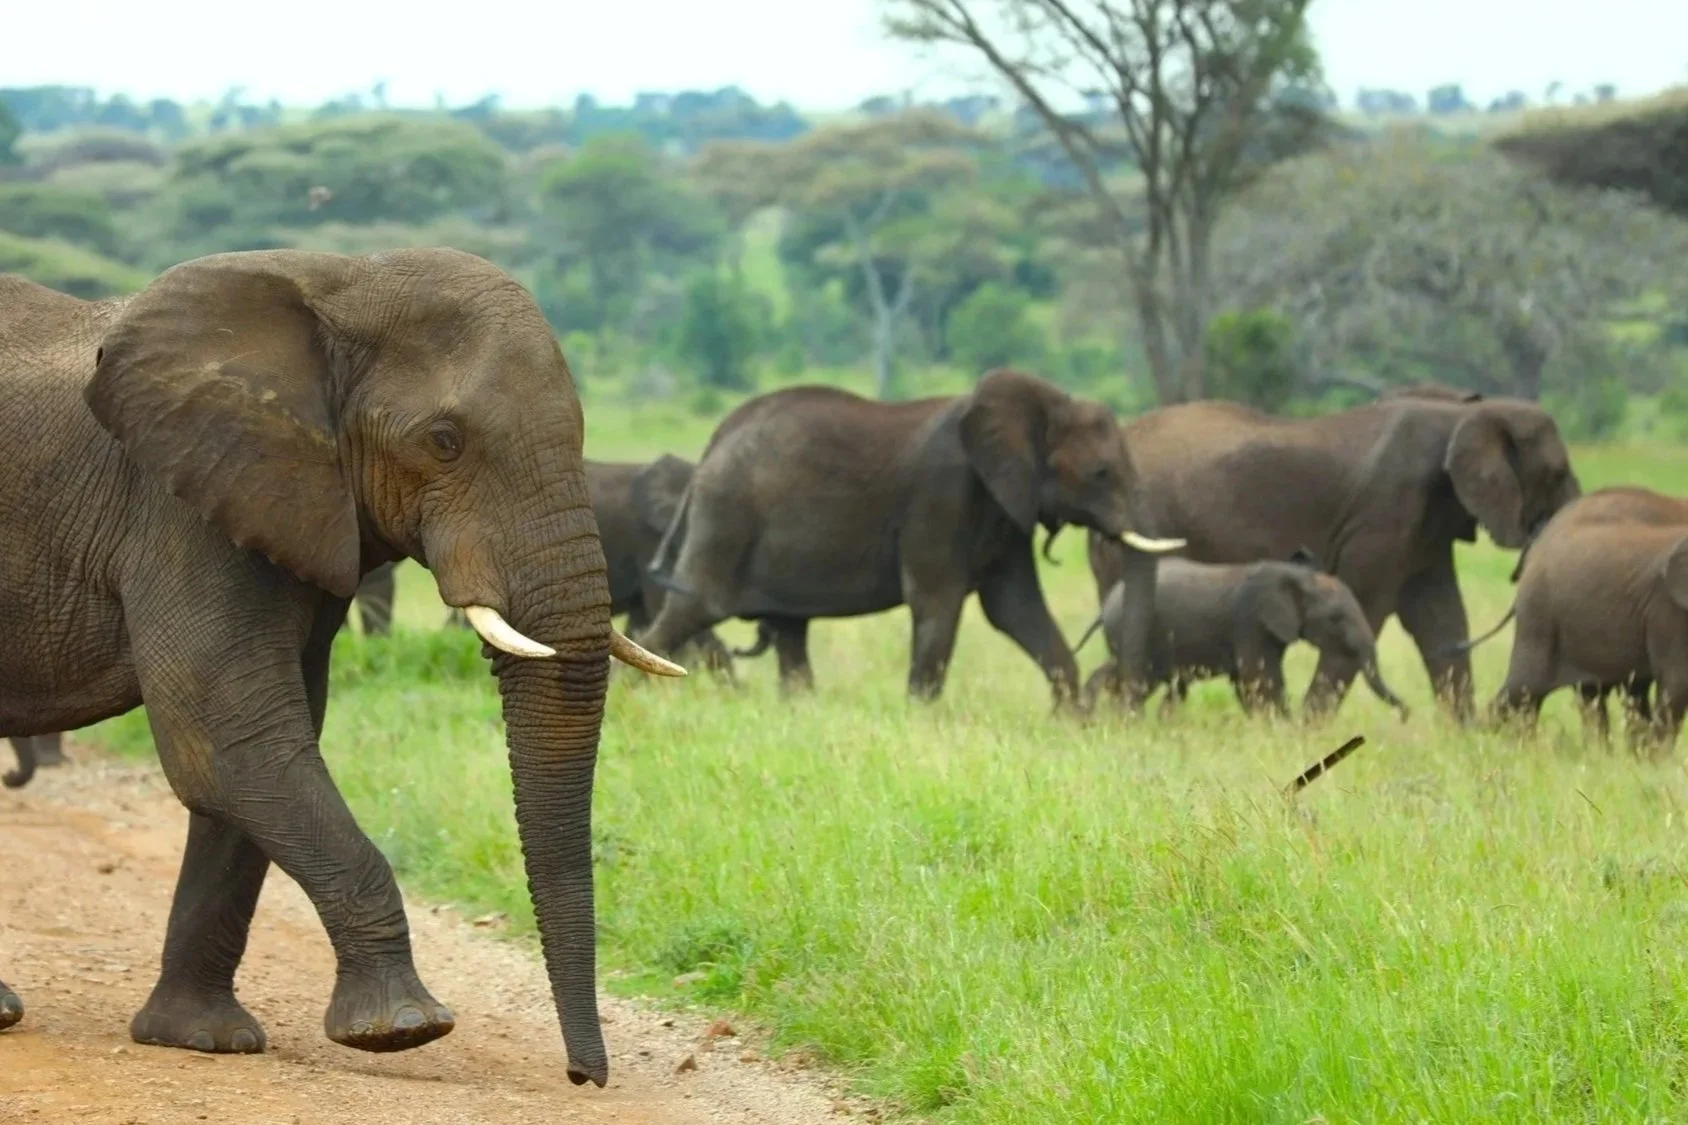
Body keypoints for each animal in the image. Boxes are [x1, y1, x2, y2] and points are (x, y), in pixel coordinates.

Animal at [0, 248, 685, 1087]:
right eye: (445, 440)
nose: (584, 1075)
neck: (339, 279)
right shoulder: (177, 508)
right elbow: (232, 742)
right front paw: (403, 1028)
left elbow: (264, 751)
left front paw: (202, 1037)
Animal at [634, 368, 1186, 705]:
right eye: (1100, 474)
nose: (1116, 705)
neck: (1045, 402)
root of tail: (714, 441)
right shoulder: (943, 494)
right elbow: (937, 603)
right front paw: (923, 715)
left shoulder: (1006, 507)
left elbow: (1014, 608)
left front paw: (1068, 723)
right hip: (727, 517)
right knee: (694, 609)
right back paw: (632, 699)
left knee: (789, 630)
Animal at [1077, 552, 1410, 718]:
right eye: (1336, 618)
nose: (1407, 714)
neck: (1297, 577)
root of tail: (1108, 604)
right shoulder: (1250, 621)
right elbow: (1260, 678)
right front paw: (1281, 727)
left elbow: (1249, 681)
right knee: (1140, 678)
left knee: (1120, 672)